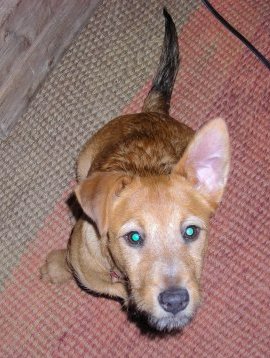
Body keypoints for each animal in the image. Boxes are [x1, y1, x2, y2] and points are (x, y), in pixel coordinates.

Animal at [40, 8, 230, 332]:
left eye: (191, 232)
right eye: (134, 238)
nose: (175, 301)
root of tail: (154, 111)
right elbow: (76, 265)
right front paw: (56, 266)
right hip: (82, 162)